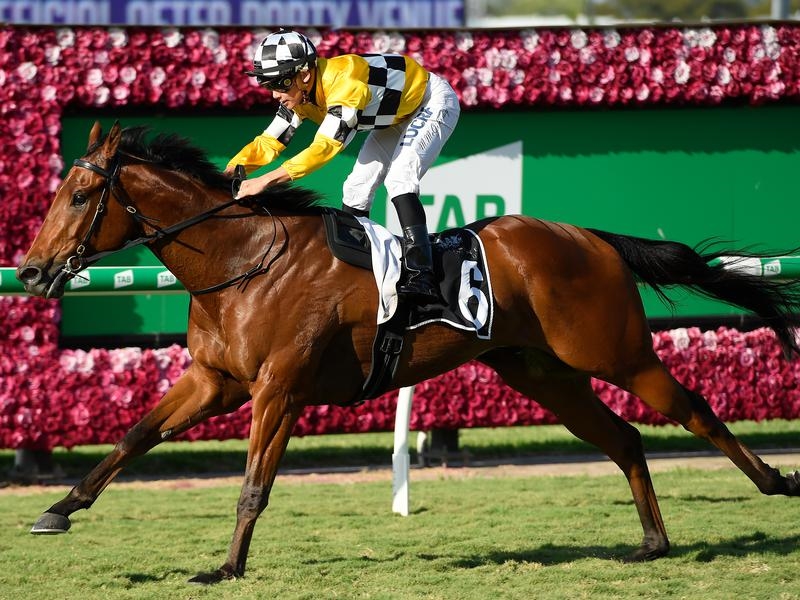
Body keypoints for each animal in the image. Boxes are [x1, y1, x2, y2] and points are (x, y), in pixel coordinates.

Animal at [16, 121, 800, 584]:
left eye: (80, 194)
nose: (28, 270)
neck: (243, 261)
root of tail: (593, 237)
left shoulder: (278, 389)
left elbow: (253, 485)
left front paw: (227, 567)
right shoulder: (214, 381)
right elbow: (133, 438)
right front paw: (57, 510)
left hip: (617, 351)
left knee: (695, 410)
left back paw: (774, 482)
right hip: (543, 373)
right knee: (624, 438)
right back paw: (653, 542)